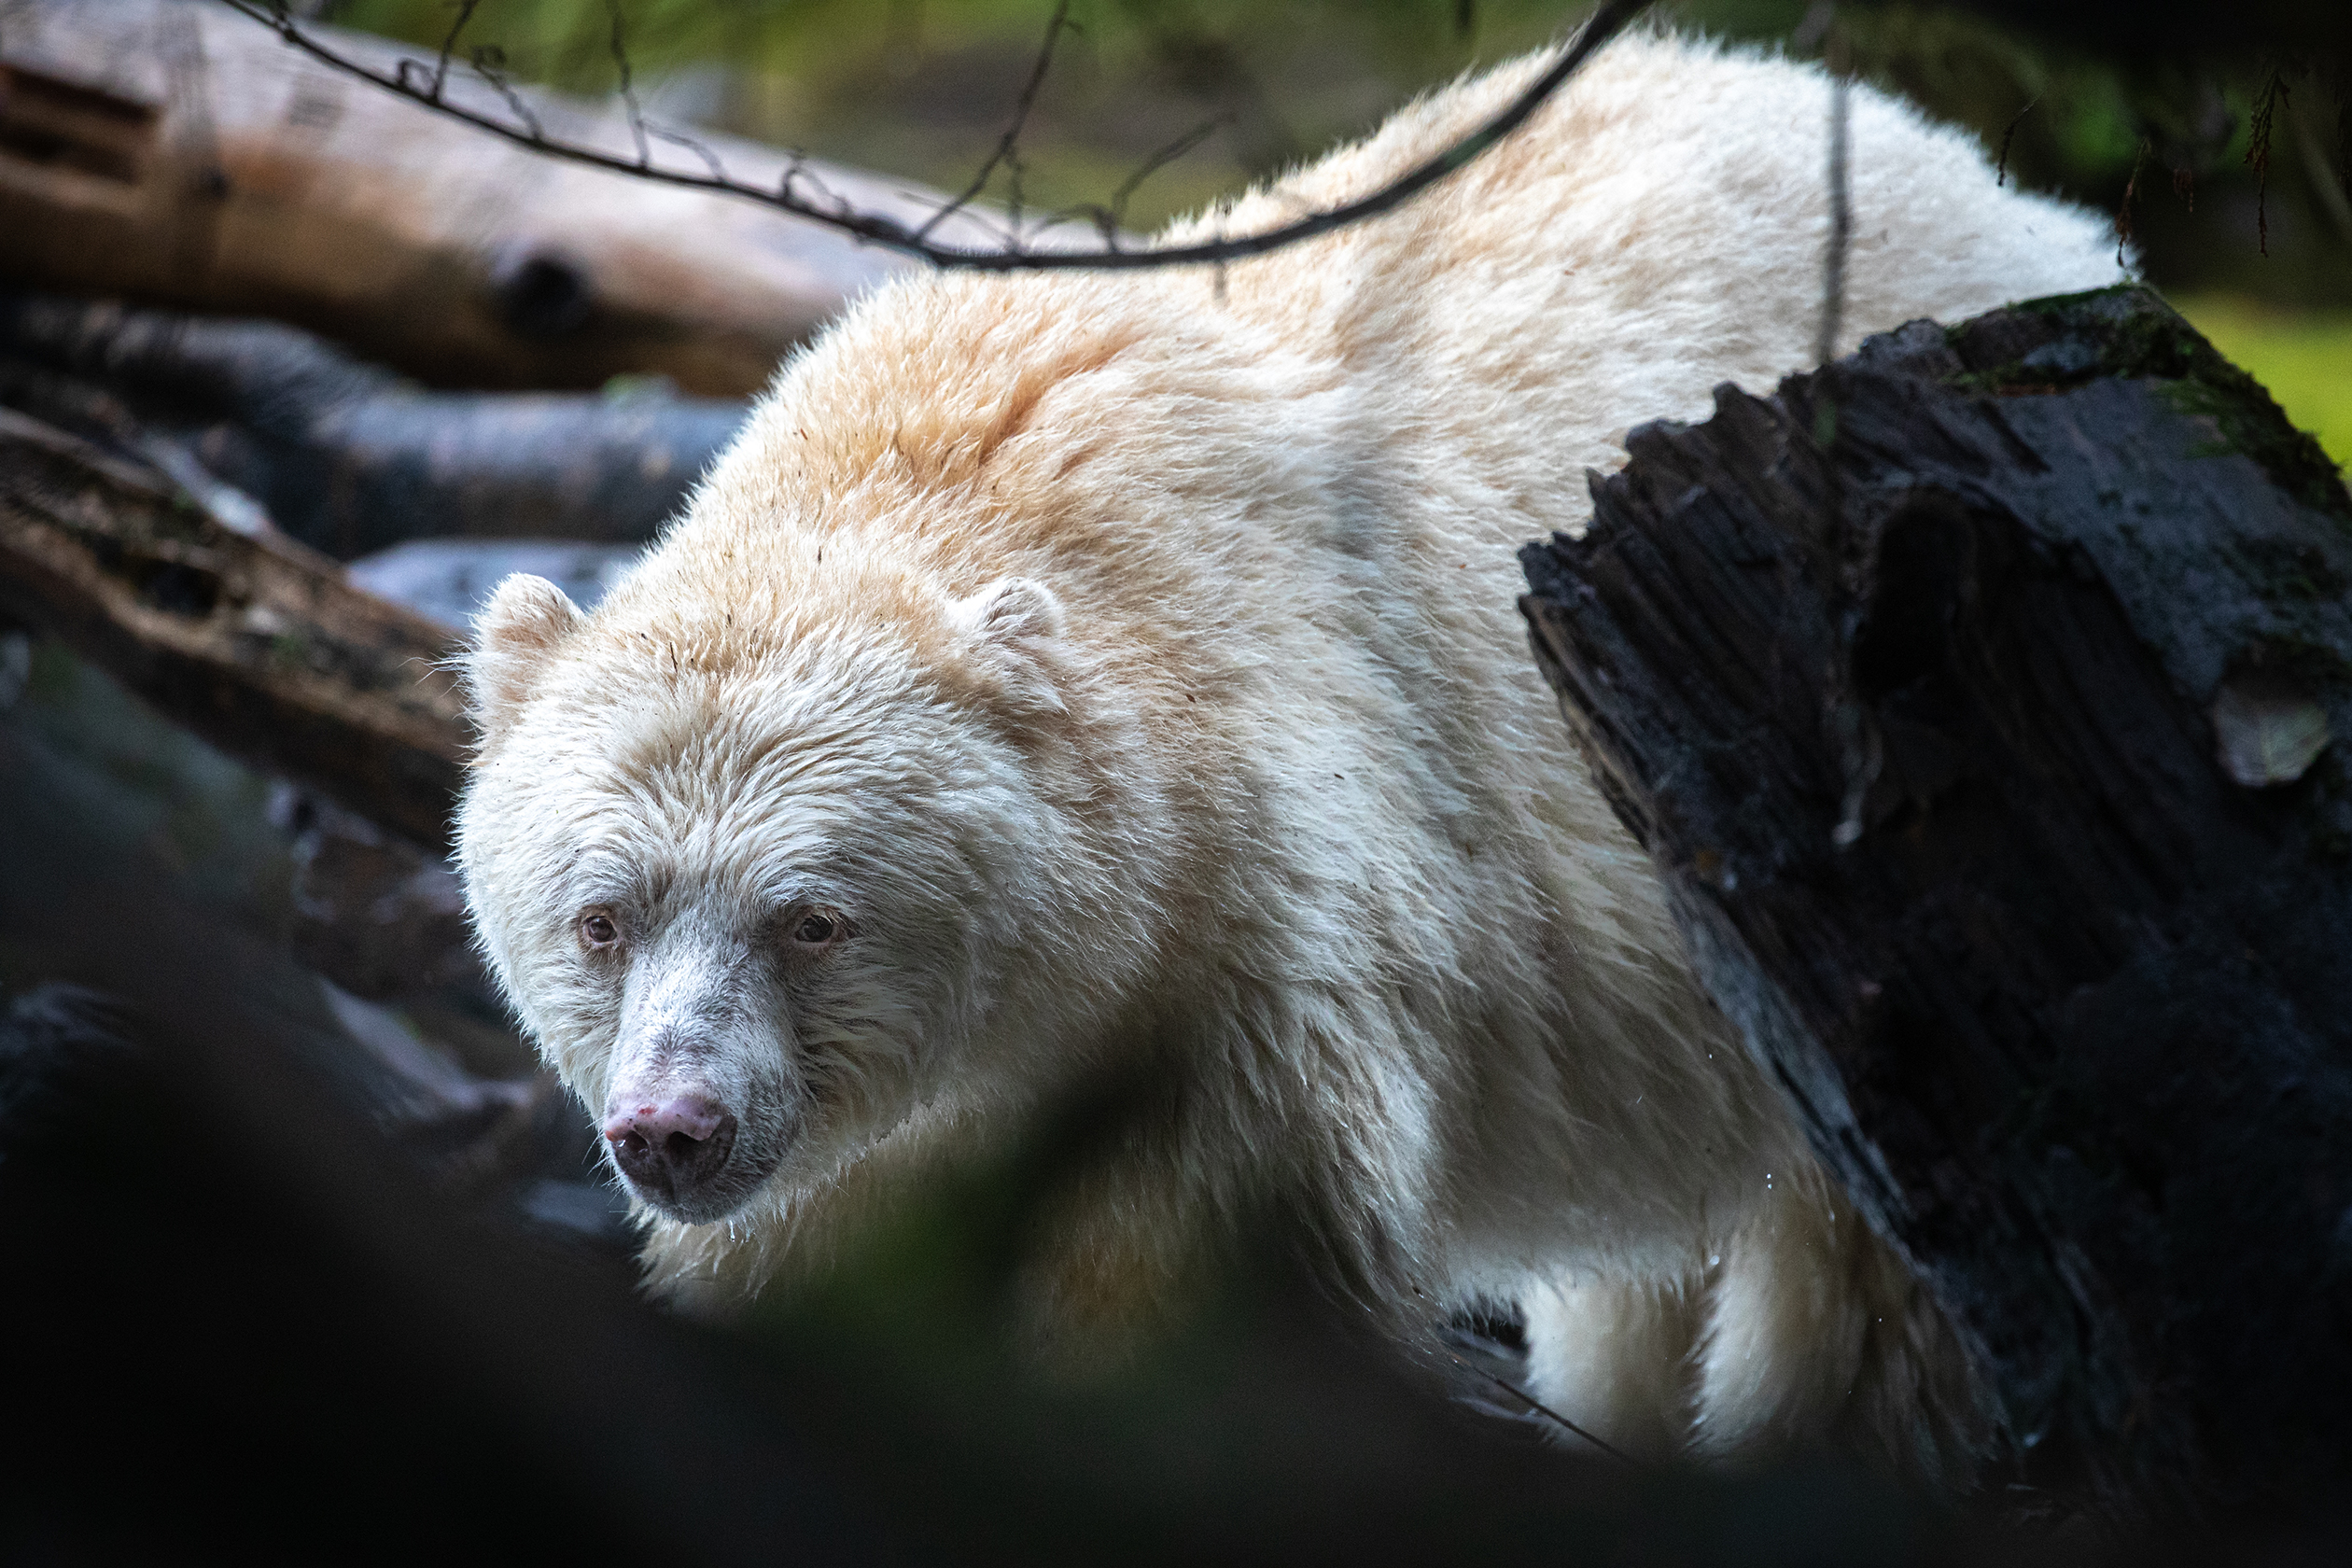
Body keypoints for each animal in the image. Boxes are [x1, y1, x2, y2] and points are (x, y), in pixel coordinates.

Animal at [455, 28, 2124, 1483]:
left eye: (812, 918)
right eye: (600, 918)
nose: (671, 1130)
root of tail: (1996, 182)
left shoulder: (1258, 963)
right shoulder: (862, 1159)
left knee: (1867, 1292)